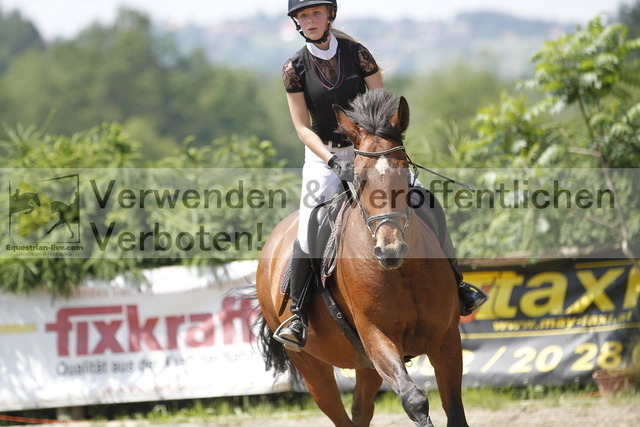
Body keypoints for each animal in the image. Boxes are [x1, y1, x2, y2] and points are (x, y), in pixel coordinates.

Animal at [252, 88, 468, 426]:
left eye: (404, 172)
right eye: (361, 178)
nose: (389, 249)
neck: (403, 273)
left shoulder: (445, 340)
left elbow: (454, 410)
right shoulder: (376, 335)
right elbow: (415, 400)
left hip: (365, 365)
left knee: (361, 409)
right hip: (310, 364)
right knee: (336, 409)